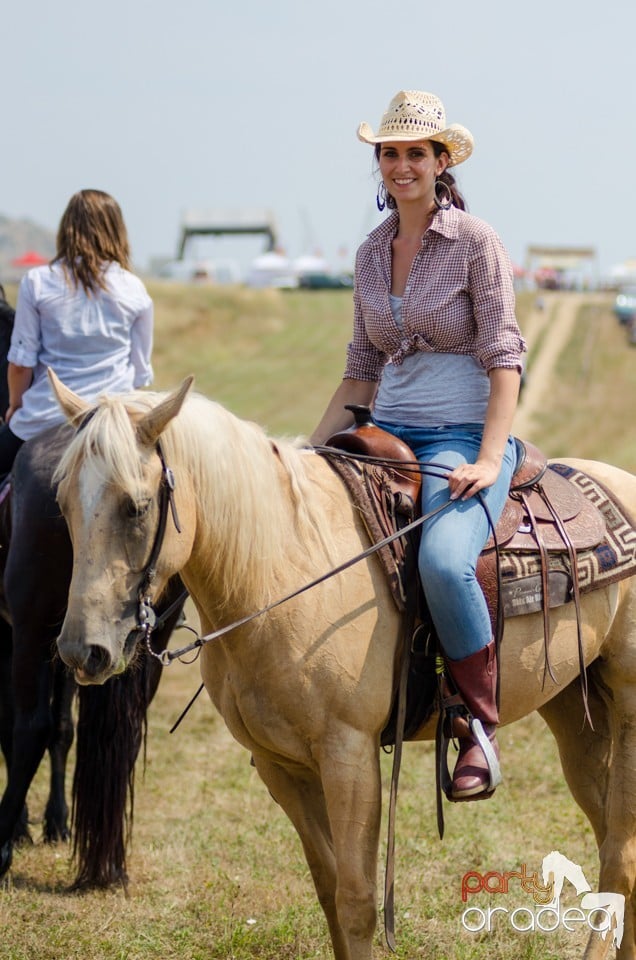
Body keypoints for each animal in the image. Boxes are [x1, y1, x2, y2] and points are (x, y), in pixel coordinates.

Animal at [49, 374, 636, 960]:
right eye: (62, 503)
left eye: (136, 506)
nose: (83, 651)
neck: (280, 569)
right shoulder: (280, 766)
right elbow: (328, 889)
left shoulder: (349, 755)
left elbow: (356, 902)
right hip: (574, 713)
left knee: (620, 853)